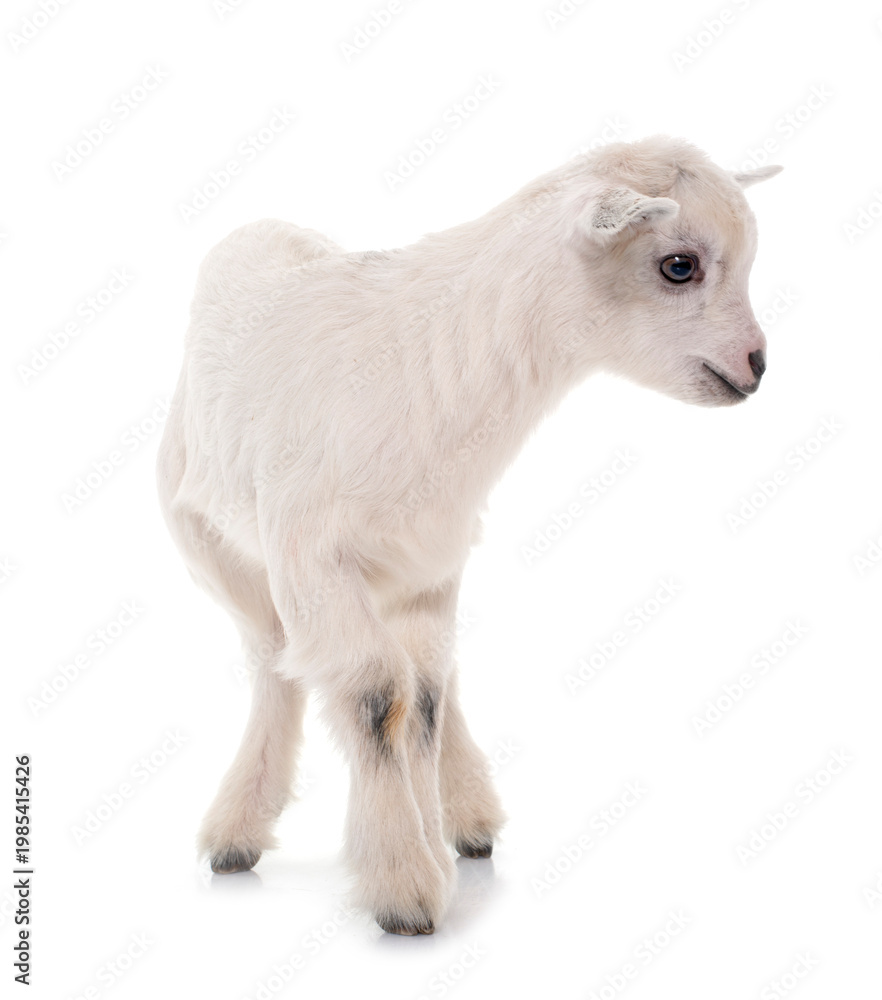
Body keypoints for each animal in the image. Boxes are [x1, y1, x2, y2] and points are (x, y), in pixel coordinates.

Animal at [156, 136, 781, 934]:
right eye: (680, 265)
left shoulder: (432, 565)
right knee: (273, 661)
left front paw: (426, 851)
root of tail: (264, 229)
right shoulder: (310, 555)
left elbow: (419, 698)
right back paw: (239, 829)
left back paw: (467, 818)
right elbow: (375, 693)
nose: (756, 367)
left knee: (429, 679)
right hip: (210, 544)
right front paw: (404, 885)